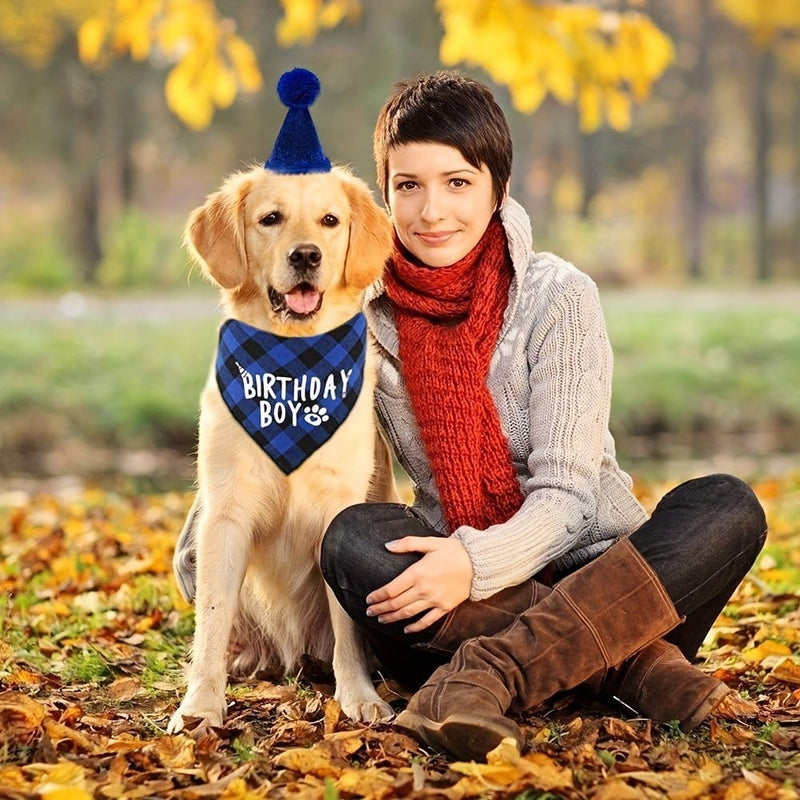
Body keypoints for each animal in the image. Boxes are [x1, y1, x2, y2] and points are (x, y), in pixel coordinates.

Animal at [168, 164, 396, 736]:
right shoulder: (225, 513)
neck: (294, 370)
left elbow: (346, 626)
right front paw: (201, 705)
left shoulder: (340, 507)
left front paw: (358, 695)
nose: (306, 255)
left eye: (330, 220)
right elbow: (212, 618)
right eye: (271, 219)